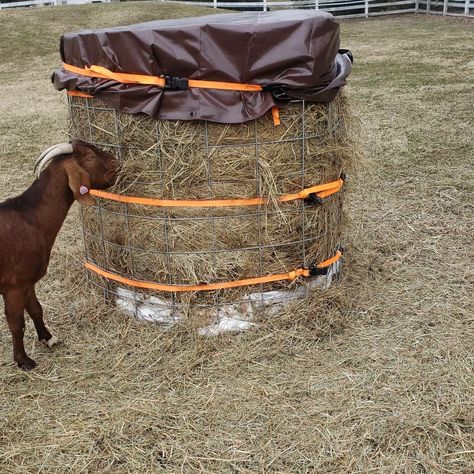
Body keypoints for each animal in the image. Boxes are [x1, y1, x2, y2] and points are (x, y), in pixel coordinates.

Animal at [0, 141, 118, 370]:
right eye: (90, 157)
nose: (118, 163)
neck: (29, 218)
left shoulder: (28, 282)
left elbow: (36, 309)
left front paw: (48, 338)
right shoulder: (14, 285)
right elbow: (17, 324)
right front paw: (23, 360)